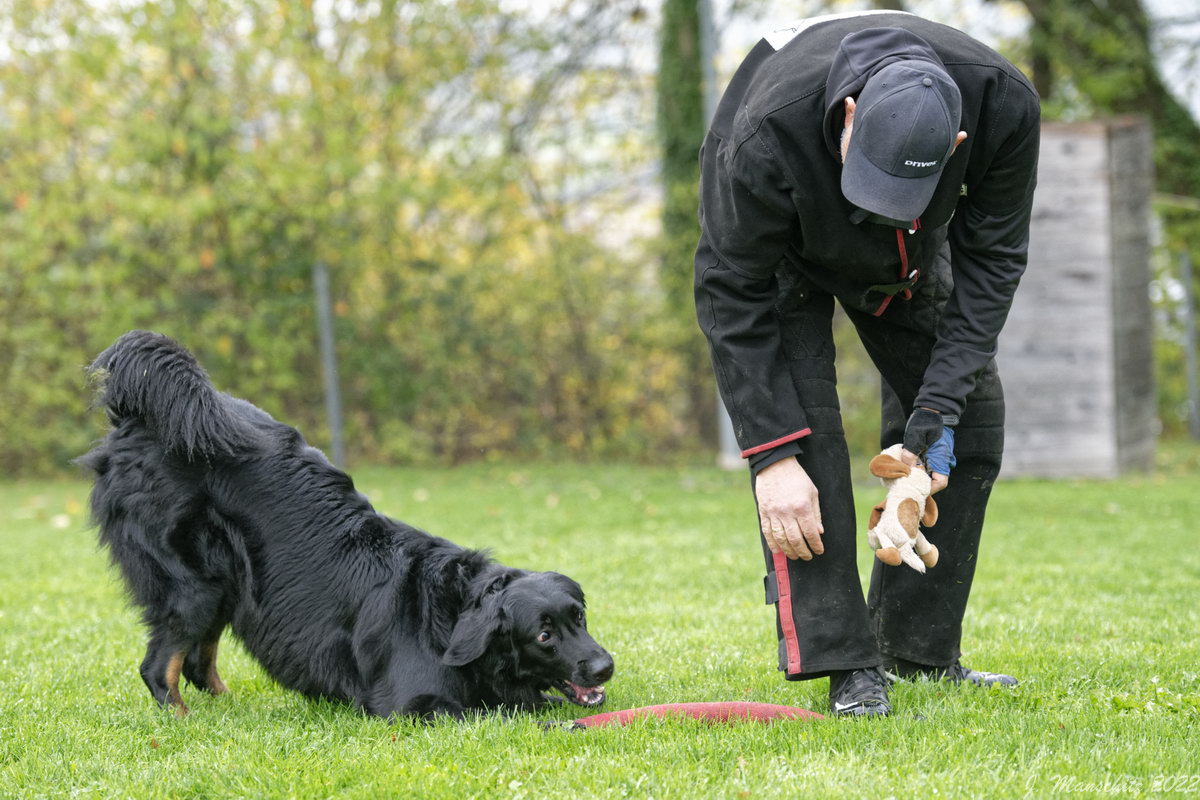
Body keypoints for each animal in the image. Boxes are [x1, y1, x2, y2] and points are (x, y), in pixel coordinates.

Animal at [79, 331, 614, 719]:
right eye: (542, 635)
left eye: (580, 618)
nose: (605, 667)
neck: (449, 612)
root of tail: (136, 421)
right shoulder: (409, 704)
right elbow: (495, 711)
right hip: (193, 585)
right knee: (158, 668)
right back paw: (184, 722)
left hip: (226, 583)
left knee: (194, 660)